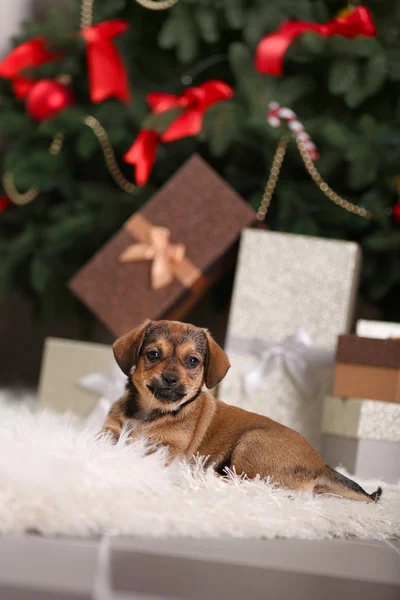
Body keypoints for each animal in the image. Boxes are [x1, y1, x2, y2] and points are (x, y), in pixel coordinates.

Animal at [104, 318, 382, 502]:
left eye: (192, 361)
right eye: (153, 354)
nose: (171, 378)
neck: (149, 413)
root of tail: (321, 466)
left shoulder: (167, 448)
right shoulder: (111, 429)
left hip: (252, 443)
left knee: (244, 481)